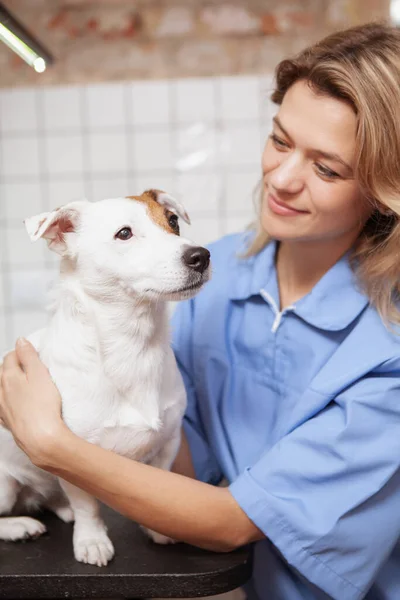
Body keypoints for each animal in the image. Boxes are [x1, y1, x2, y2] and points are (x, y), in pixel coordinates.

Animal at [0, 189, 211, 568]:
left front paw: (155, 527)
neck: (133, 346)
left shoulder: (167, 444)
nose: (200, 255)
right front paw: (92, 540)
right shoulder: (70, 453)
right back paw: (20, 526)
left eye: (172, 221)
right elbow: (88, 506)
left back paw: (59, 507)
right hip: (3, 487)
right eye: (124, 233)